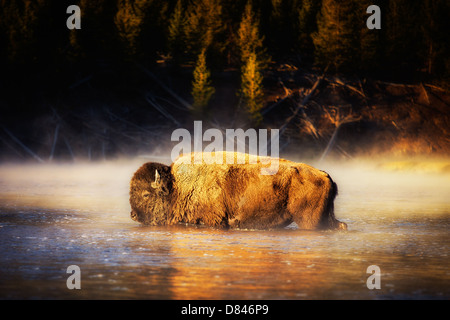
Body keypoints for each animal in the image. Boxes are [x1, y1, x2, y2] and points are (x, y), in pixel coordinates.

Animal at [130, 152, 348, 230]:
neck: (176, 187)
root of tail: (324, 175)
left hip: (309, 221)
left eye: (146, 194)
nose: (133, 215)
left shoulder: (212, 221)